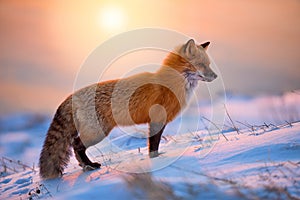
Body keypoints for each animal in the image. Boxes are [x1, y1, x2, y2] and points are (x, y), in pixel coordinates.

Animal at [39, 38, 218, 178]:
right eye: (202, 65)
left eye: (209, 64)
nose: (216, 76)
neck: (171, 84)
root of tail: (71, 96)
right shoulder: (157, 119)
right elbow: (154, 144)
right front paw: (157, 160)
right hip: (97, 132)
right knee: (76, 145)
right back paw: (89, 166)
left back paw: (86, 166)